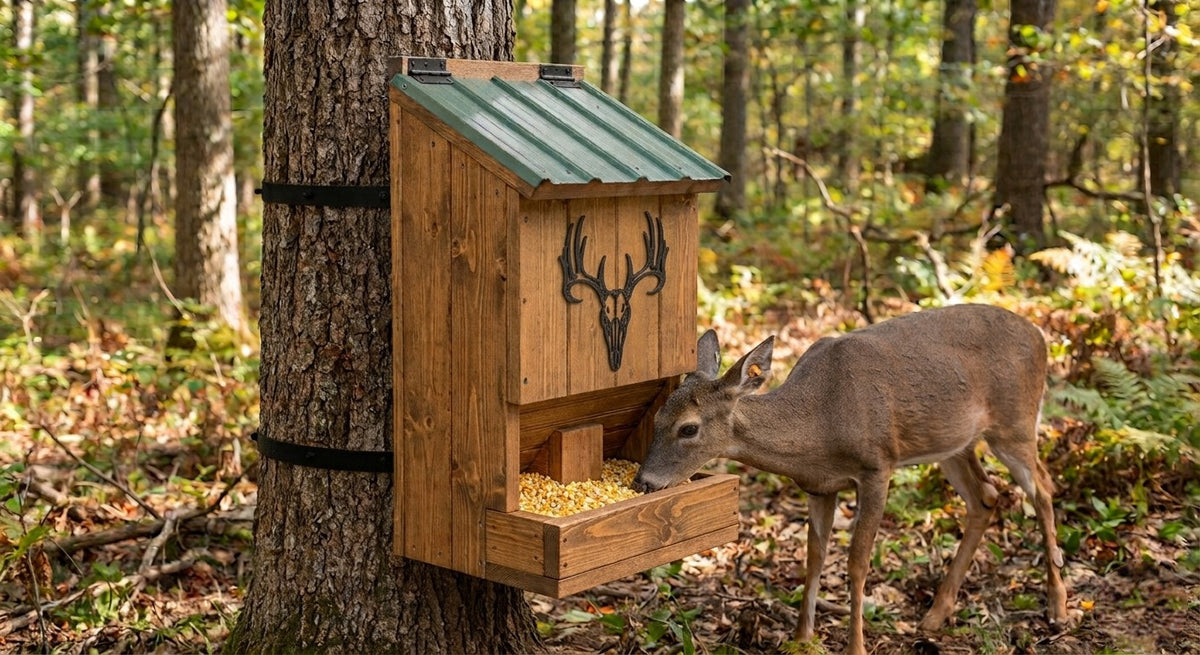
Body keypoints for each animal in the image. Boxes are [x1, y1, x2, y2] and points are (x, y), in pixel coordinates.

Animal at [633, 304, 1068, 655]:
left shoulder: (878, 467)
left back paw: (1058, 606)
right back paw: (936, 614)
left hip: (1015, 421)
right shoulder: (819, 487)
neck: (821, 423)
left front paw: (855, 646)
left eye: (689, 428)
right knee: (986, 497)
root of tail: (1041, 335)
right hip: (953, 443)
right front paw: (801, 638)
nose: (644, 482)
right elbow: (814, 557)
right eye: (657, 417)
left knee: (1044, 489)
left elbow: (857, 563)